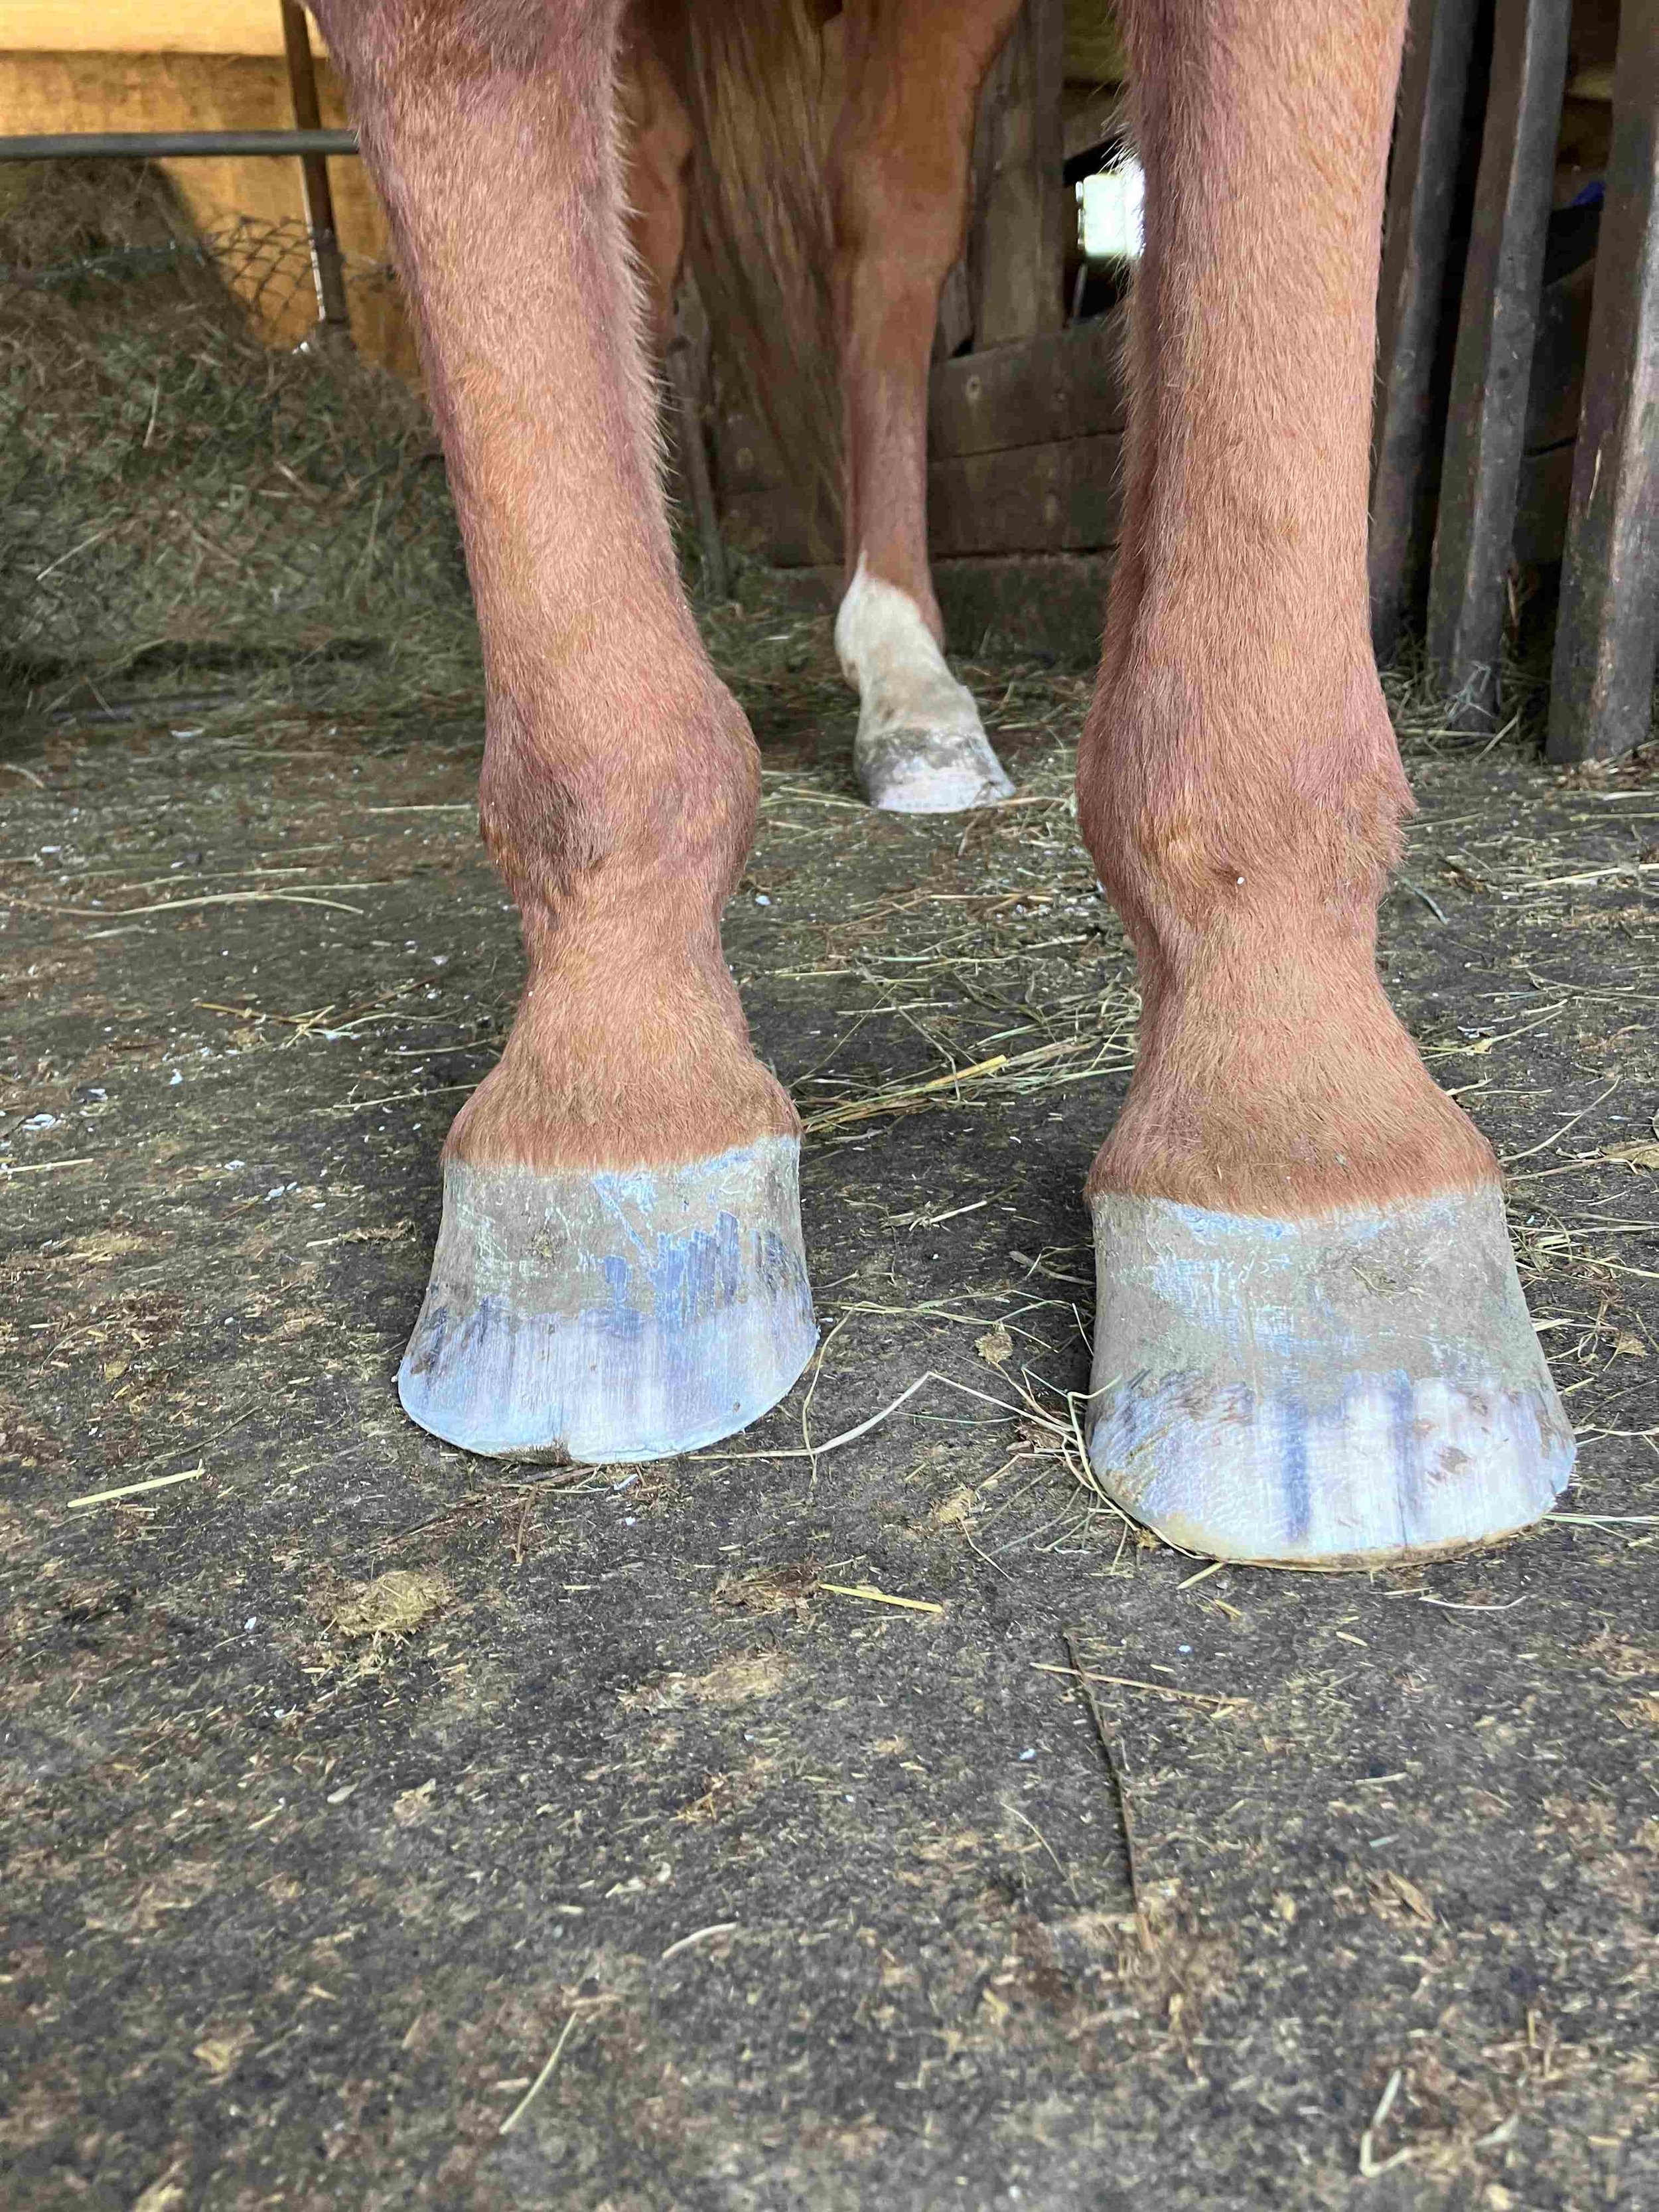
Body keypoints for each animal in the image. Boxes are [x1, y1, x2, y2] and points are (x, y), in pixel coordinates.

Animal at [305, 0, 1575, 1565]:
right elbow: (471, 83)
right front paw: (605, 1126)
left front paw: (1308, 1179)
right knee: (658, 191)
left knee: (886, 225)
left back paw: (911, 687)